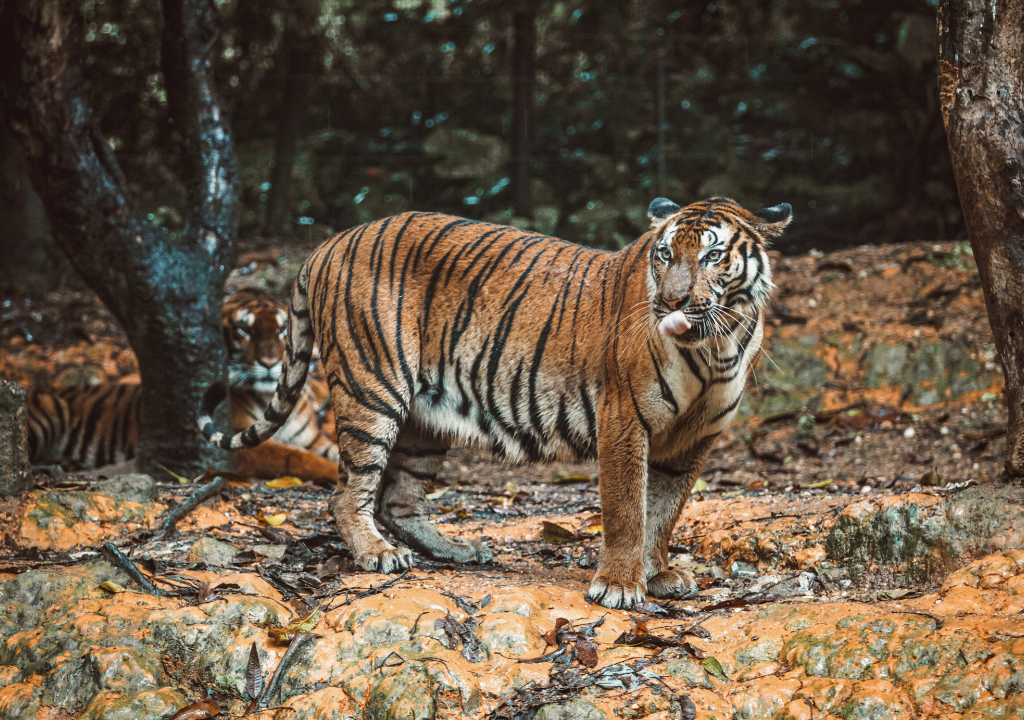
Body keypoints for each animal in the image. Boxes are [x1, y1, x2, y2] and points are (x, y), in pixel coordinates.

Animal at [27, 288, 339, 484]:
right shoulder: (242, 443)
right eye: (244, 330)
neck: (272, 398)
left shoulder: (313, 440)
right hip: (47, 414)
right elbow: (298, 459)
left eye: (282, 329)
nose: (270, 362)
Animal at [198, 197, 790, 609]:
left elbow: (664, 513)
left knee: (399, 500)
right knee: (348, 493)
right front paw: (621, 585)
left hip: (424, 421)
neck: (716, 346)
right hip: (373, 391)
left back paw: (457, 551)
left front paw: (659, 573)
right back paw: (376, 554)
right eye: (665, 254)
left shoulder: (694, 441)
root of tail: (329, 243)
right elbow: (627, 509)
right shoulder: (624, 420)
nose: (670, 302)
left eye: (712, 255)